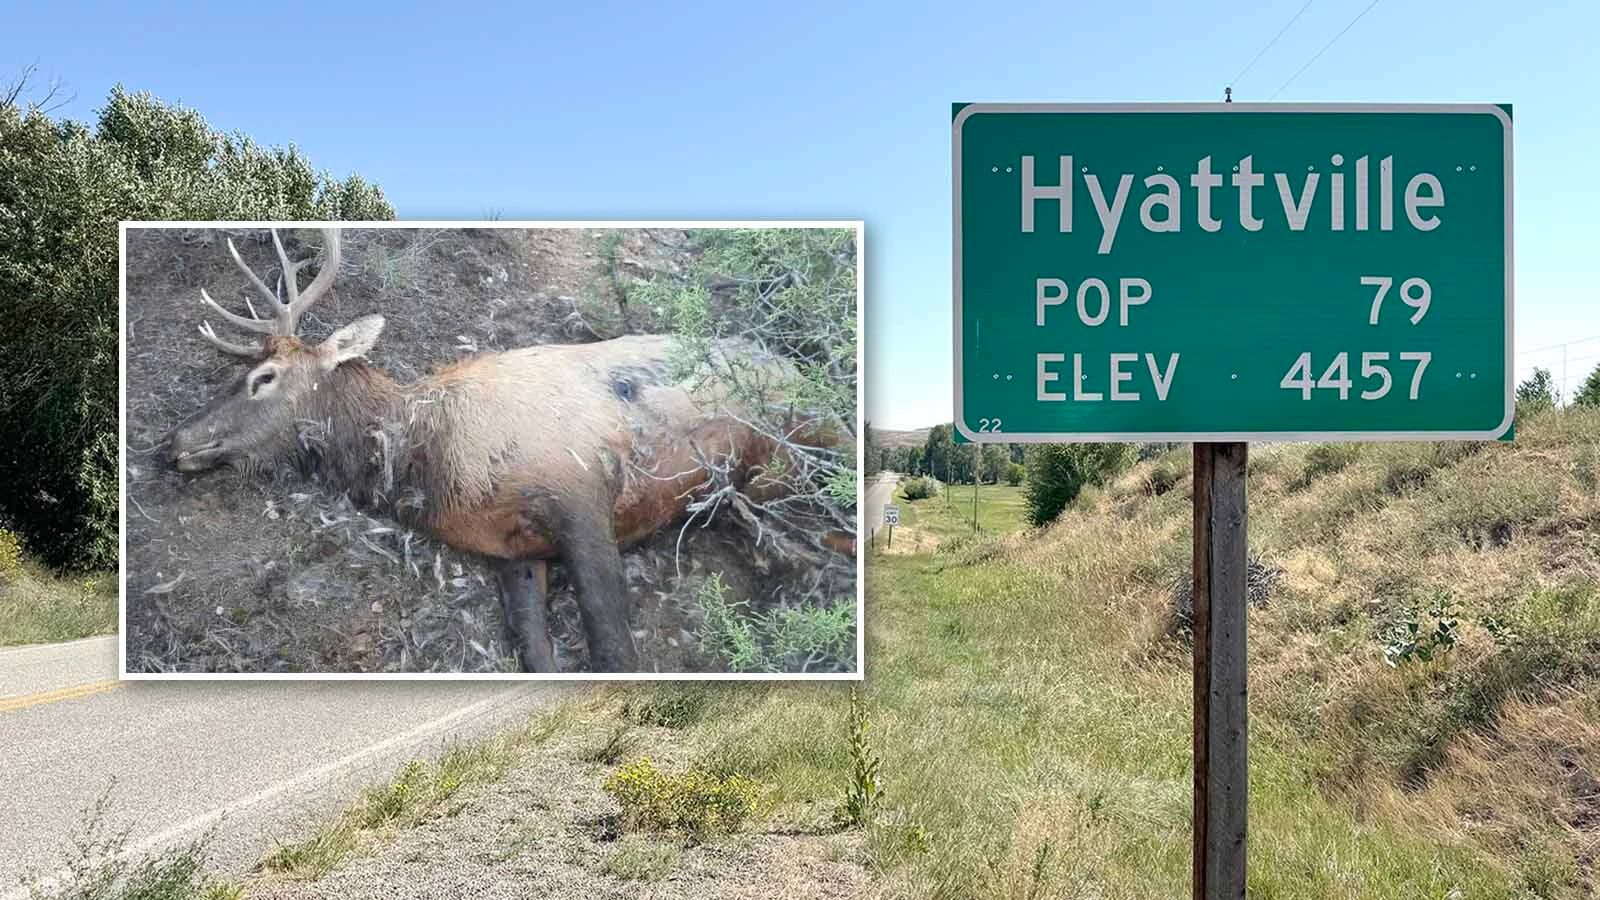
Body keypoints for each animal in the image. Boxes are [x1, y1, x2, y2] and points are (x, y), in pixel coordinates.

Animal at [165, 227, 844, 673]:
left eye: (264, 377)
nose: (175, 442)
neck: (436, 461)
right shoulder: (514, 550)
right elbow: (538, 657)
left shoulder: (581, 495)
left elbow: (615, 653)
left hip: (789, 461)